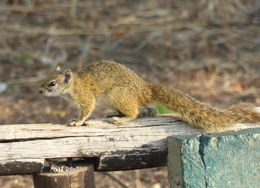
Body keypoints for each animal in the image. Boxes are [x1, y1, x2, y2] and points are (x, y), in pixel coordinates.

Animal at [38, 60, 260, 131]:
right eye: (44, 78)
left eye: (52, 83)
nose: (39, 91)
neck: (74, 85)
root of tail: (145, 88)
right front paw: (74, 118)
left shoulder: (86, 97)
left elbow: (87, 109)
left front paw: (77, 121)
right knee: (147, 110)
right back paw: (116, 114)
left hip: (119, 94)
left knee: (134, 112)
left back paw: (121, 118)